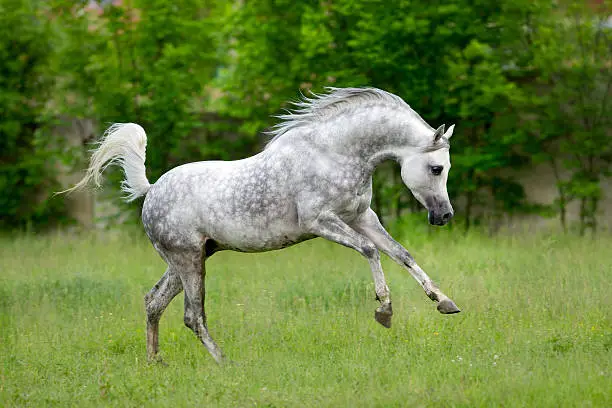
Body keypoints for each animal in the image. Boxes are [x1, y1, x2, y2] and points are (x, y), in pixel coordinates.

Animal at [64, 87, 462, 364]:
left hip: (187, 260)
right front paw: (384, 312)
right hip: (190, 262)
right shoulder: (322, 222)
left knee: (153, 303)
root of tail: (150, 190)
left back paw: (155, 362)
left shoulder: (361, 217)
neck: (334, 153)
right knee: (193, 316)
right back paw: (224, 363)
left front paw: (445, 302)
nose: (444, 216)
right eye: (436, 168)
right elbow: (370, 252)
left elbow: (402, 254)